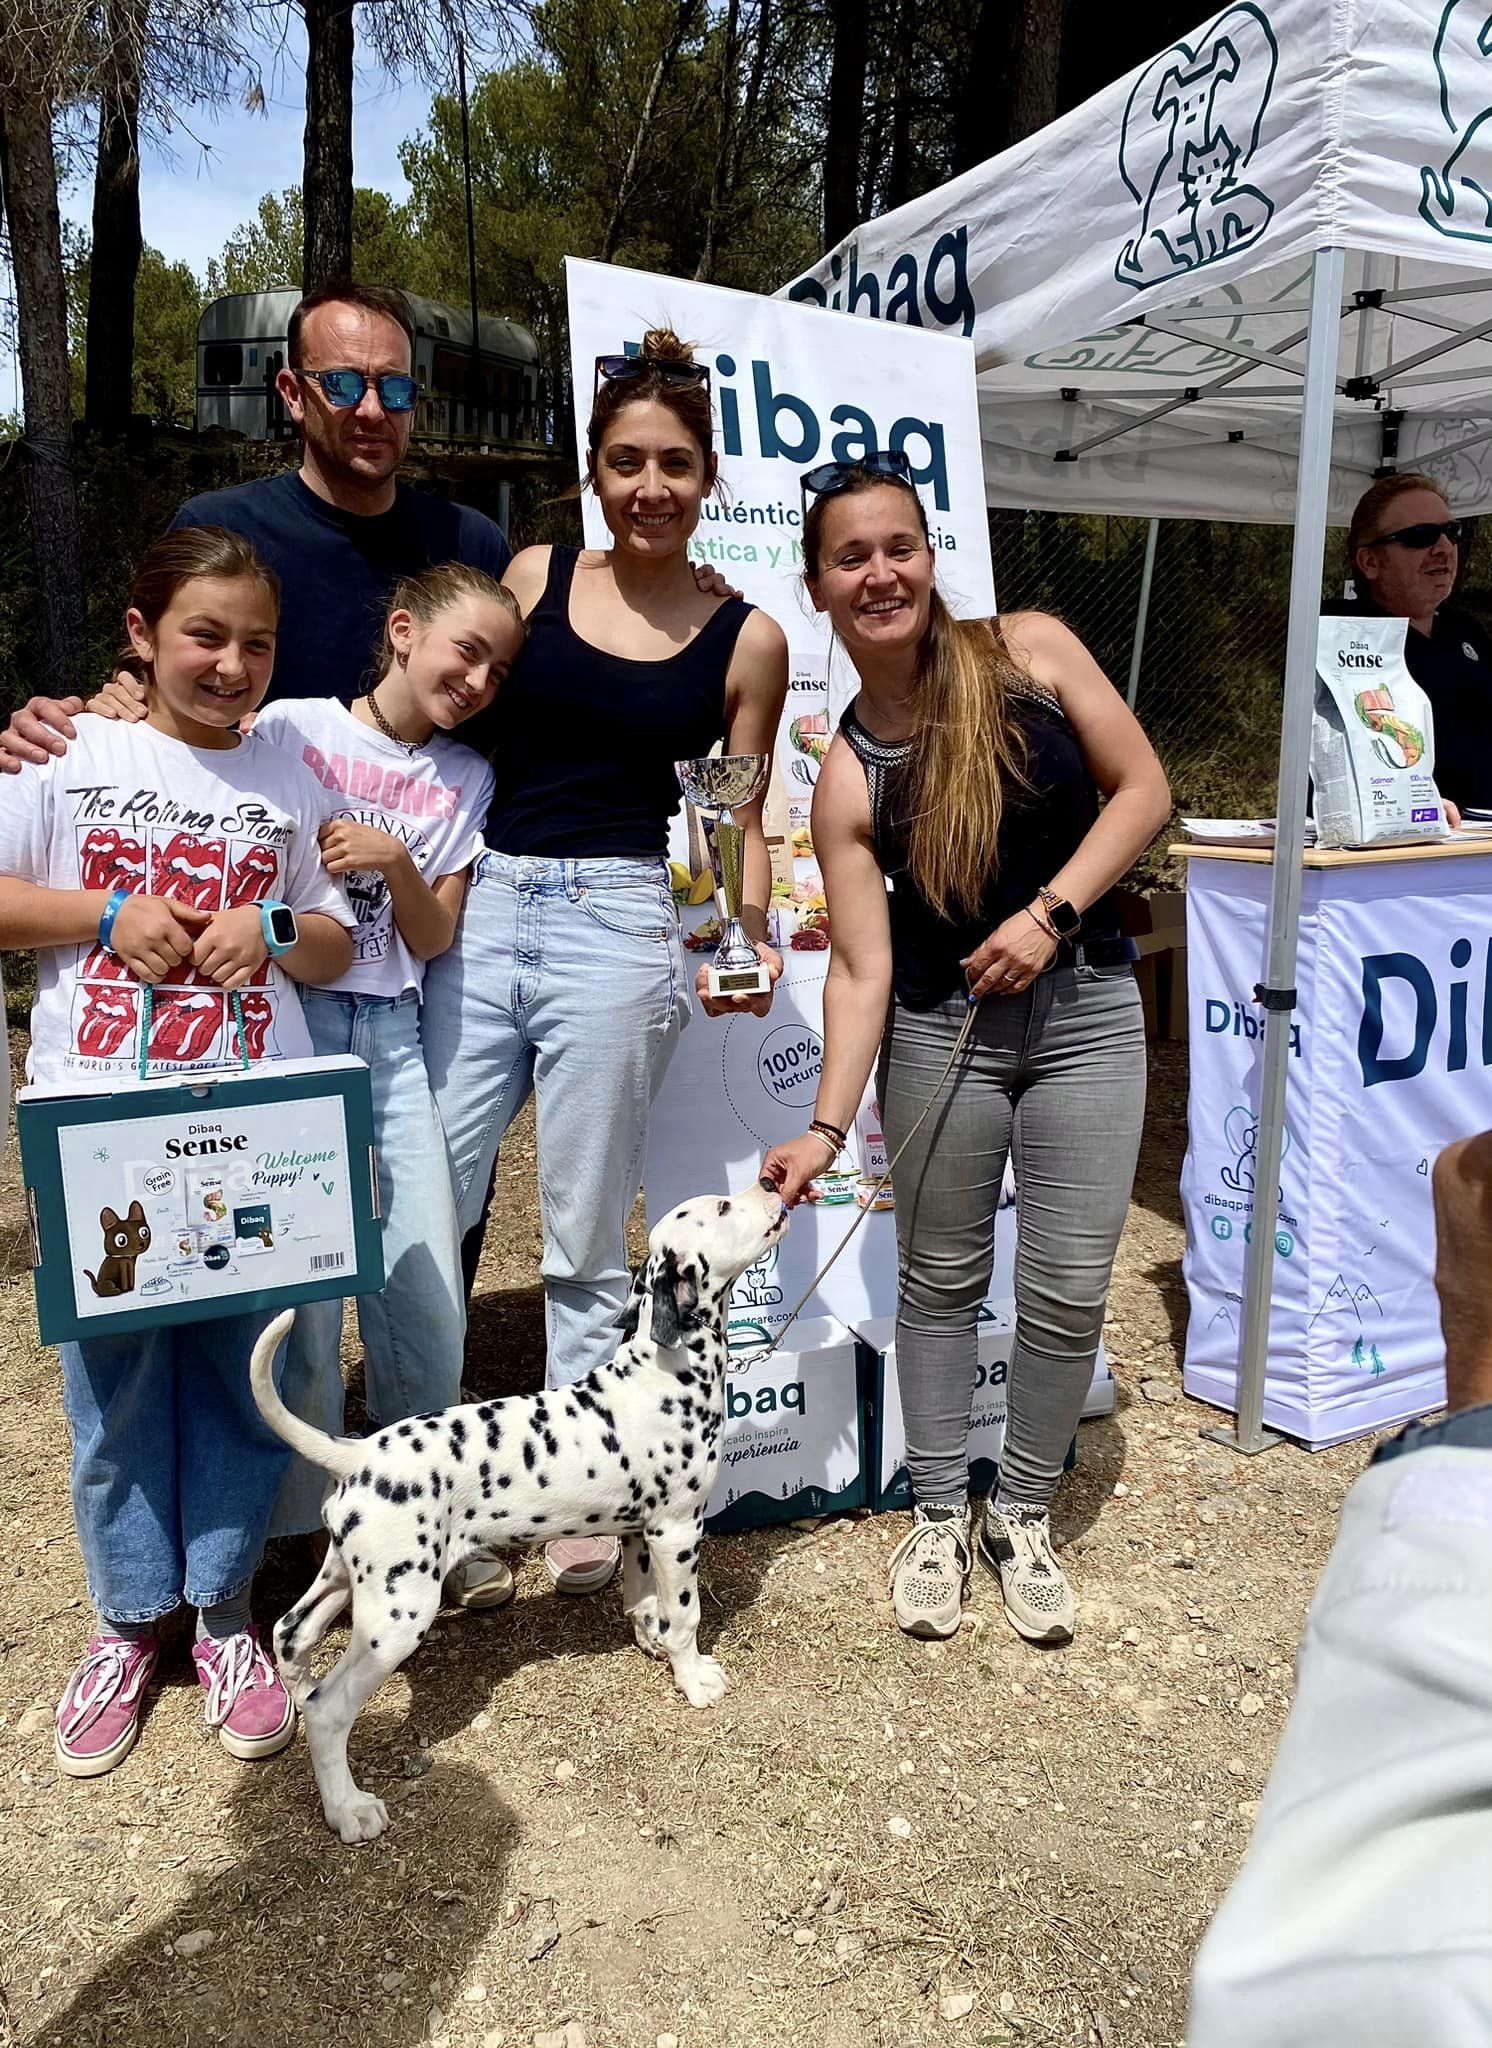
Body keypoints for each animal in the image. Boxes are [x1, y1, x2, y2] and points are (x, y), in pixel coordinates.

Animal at [249, 1181, 789, 1844]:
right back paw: (348, 1809)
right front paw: (694, 1680)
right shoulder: (676, 1529)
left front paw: (653, 1642)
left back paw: (298, 1699)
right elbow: (684, 1615)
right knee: (330, 1710)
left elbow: (644, 1602)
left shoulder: (640, 1534)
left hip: (347, 1580)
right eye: (721, 1207)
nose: (773, 1183)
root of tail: (358, 1451)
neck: (667, 1368)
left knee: (290, 1634)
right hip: (398, 1616)